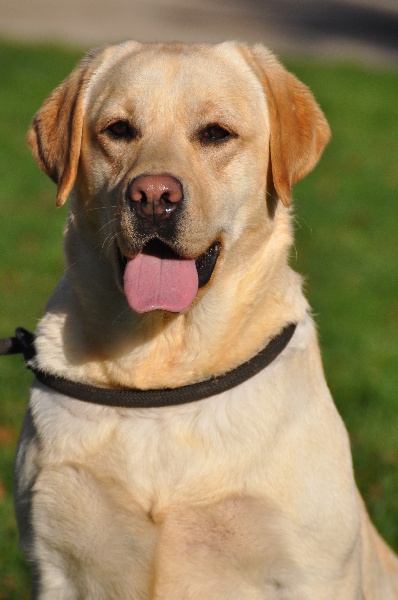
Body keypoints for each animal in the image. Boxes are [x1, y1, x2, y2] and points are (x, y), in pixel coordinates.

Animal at [13, 41, 398, 600]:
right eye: (118, 129)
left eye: (216, 133)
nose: (153, 196)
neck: (162, 371)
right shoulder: (56, 565)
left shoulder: (315, 572)